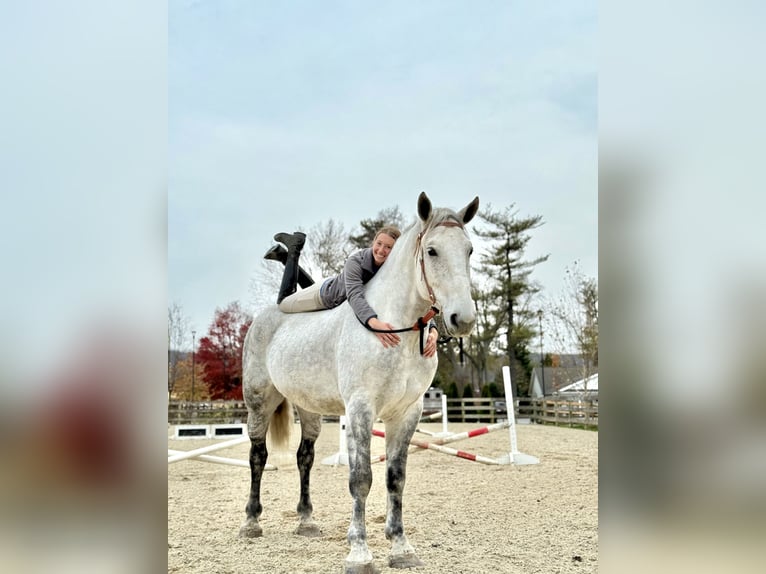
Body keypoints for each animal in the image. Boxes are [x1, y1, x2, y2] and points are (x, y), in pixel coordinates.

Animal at [239, 192, 479, 573]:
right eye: (432, 251)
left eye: (468, 250)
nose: (463, 319)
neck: (394, 327)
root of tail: (268, 314)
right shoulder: (361, 409)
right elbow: (361, 478)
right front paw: (360, 553)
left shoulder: (406, 413)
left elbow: (395, 479)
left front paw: (401, 548)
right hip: (259, 402)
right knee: (258, 456)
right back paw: (251, 522)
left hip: (309, 409)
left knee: (304, 457)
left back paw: (306, 520)